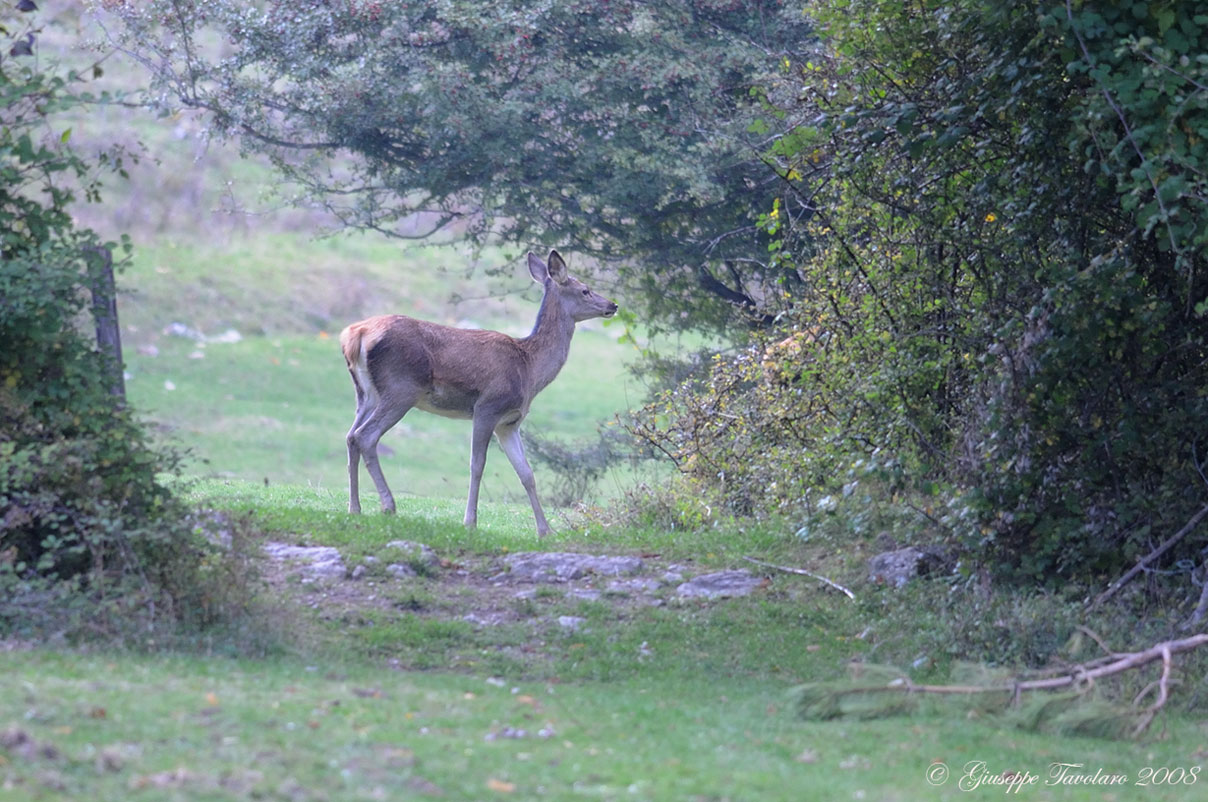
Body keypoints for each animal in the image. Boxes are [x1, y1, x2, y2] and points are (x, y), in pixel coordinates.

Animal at [343, 248, 618, 538]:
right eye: (585, 290)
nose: (613, 305)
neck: (529, 368)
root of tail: (355, 334)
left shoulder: (509, 422)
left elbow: (526, 473)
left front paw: (545, 531)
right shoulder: (488, 407)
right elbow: (478, 464)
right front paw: (470, 521)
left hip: (366, 394)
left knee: (350, 436)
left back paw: (354, 507)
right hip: (401, 388)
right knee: (365, 436)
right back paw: (388, 505)